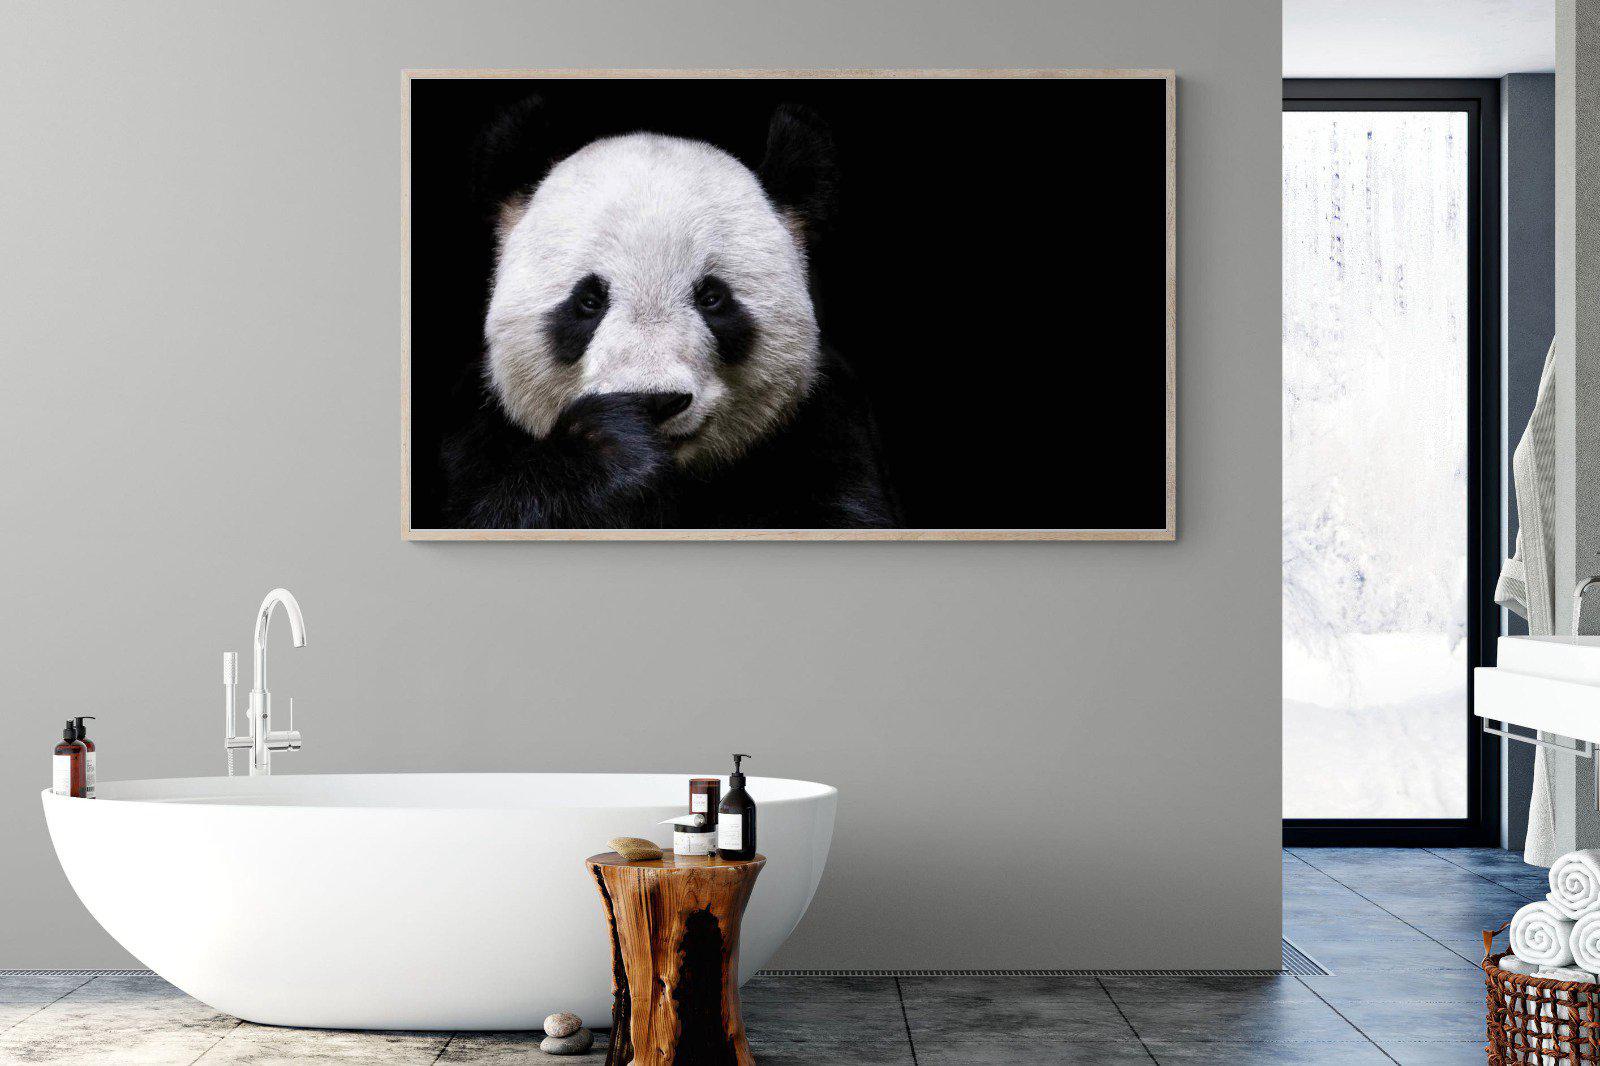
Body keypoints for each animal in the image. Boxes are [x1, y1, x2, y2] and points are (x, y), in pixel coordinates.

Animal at [441, 99, 900, 529]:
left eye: (712, 298)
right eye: (589, 300)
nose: (655, 401)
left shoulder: (825, 431)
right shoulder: (476, 435)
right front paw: (609, 448)